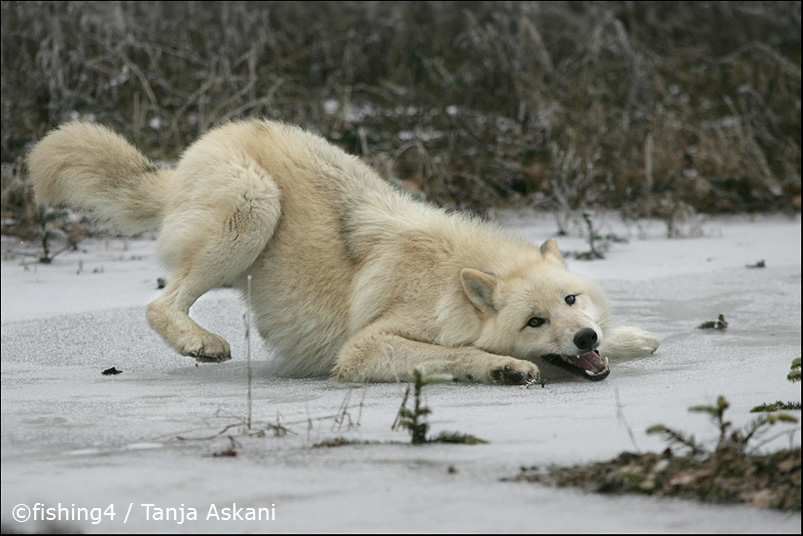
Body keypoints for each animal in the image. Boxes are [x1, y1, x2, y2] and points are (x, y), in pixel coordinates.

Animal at [28, 119, 664, 384]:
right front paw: (505, 367)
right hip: (254, 206)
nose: (584, 338)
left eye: (571, 301)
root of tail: (186, 154)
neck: (446, 283)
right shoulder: (366, 348)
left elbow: (632, 340)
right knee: (161, 303)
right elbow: (455, 354)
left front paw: (633, 337)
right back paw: (200, 344)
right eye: (535, 321)